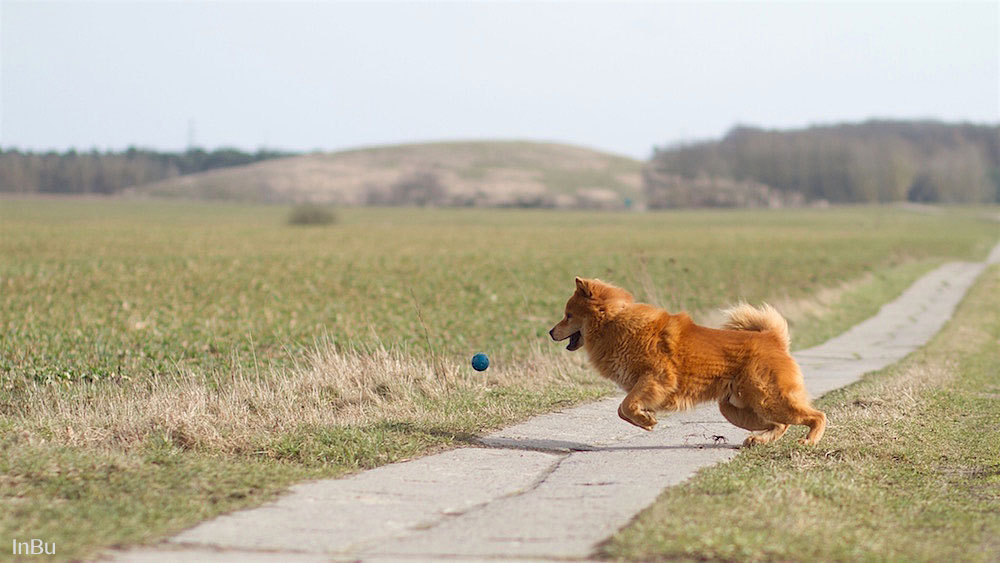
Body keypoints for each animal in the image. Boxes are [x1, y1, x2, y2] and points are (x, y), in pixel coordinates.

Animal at [552, 278, 824, 446]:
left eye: (568, 315)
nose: (550, 332)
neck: (613, 321)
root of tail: (773, 338)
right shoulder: (646, 385)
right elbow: (624, 409)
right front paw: (646, 419)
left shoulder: (657, 378)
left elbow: (625, 406)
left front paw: (645, 420)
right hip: (737, 409)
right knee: (780, 424)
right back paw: (758, 440)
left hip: (769, 398)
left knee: (816, 416)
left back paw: (809, 441)